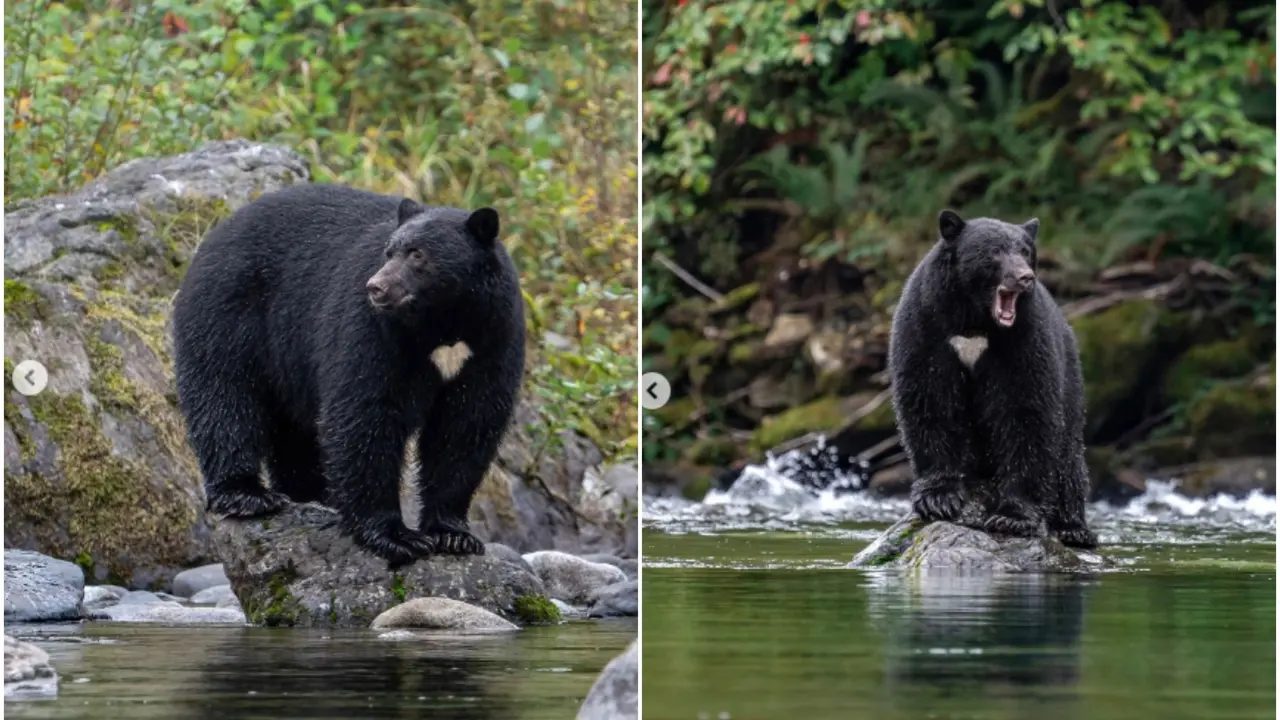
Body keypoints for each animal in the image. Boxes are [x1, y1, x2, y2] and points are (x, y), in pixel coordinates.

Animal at [171, 183, 526, 566]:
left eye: (417, 254)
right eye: (389, 252)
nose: (376, 287)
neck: (443, 328)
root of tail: (219, 228)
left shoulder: (494, 340)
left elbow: (466, 425)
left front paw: (453, 534)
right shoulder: (375, 332)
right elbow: (367, 413)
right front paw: (395, 535)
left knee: (294, 432)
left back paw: (310, 496)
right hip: (229, 309)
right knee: (225, 396)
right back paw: (246, 494)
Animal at [887, 209, 1097, 549]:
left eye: (1025, 251)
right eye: (995, 251)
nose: (1025, 277)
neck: (975, 321)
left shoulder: (1023, 340)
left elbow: (1025, 410)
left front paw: (1012, 516)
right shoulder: (927, 326)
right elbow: (930, 399)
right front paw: (938, 498)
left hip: (1072, 380)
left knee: (1068, 456)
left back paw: (1074, 528)